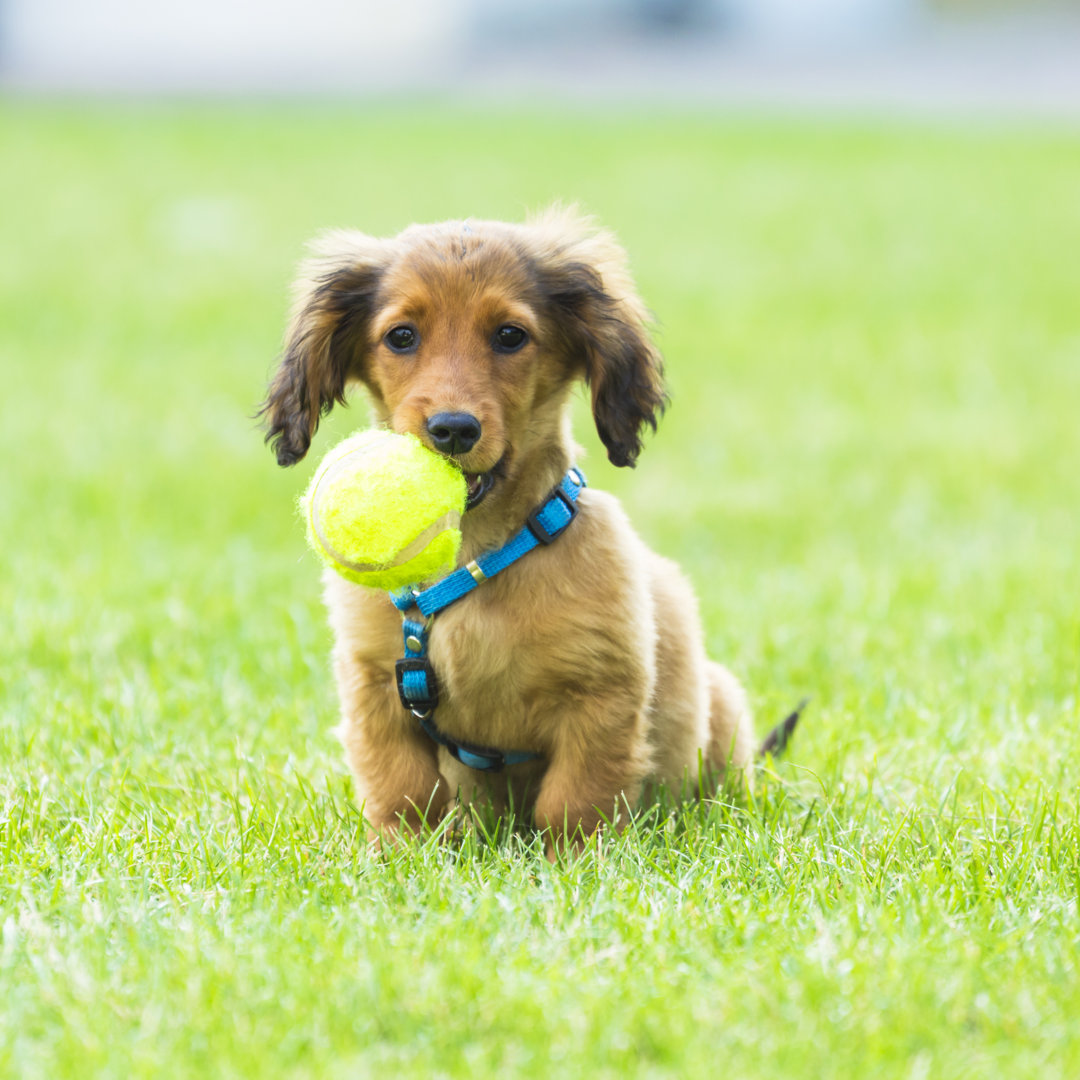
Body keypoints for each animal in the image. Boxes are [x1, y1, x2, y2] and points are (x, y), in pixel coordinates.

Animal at [260, 208, 756, 851]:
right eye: (401, 336)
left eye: (510, 336)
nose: (452, 429)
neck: (473, 556)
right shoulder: (374, 684)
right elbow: (401, 786)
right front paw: (399, 854)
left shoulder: (602, 691)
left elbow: (576, 797)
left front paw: (576, 859)